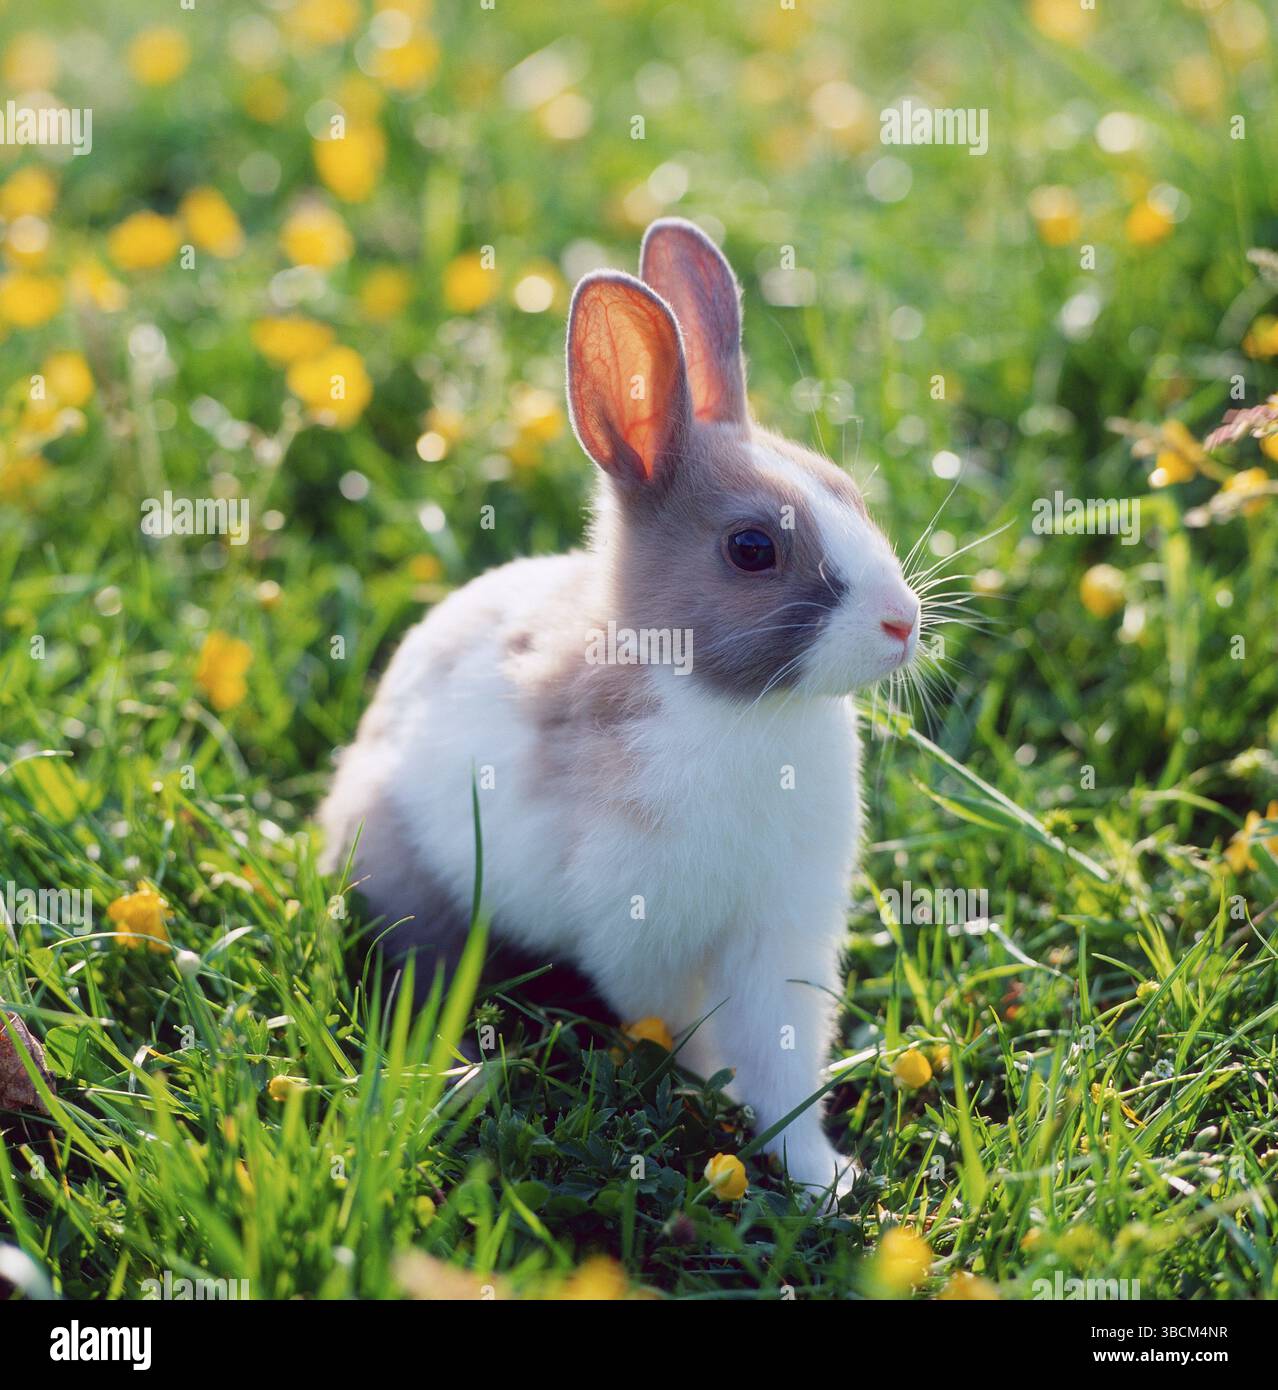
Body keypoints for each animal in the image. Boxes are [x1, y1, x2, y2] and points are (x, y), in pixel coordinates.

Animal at [318, 218, 921, 1202]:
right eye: (751, 549)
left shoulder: (782, 934)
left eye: (849, 492)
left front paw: (819, 1175)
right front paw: (714, 1094)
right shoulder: (643, 932)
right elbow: (684, 1027)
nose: (903, 623)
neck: (730, 705)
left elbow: (783, 1057)